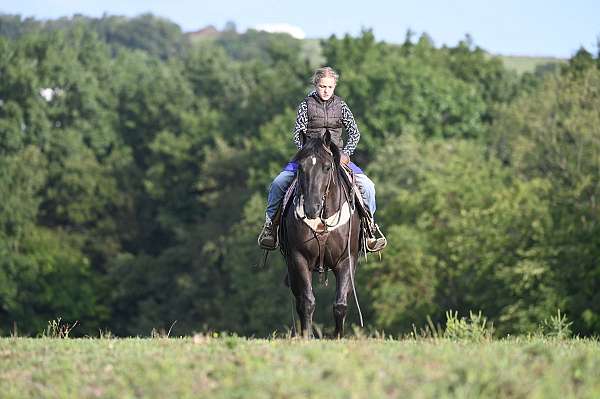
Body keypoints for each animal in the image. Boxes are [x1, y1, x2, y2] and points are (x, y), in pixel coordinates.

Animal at [280, 134, 364, 338]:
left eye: (327, 167)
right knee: (299, 299)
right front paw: (307, 336)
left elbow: (340, 304)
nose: (312, 208)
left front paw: (338, 336)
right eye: (300, 167)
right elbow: (307, 302)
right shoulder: (299, 258)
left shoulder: (346, 260)